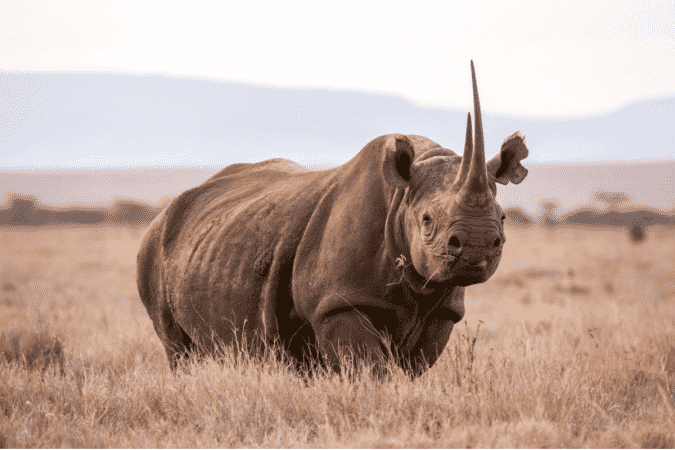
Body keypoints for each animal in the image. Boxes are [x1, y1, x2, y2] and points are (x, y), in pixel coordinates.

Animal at [137, 61, 530, 377]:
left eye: (503, 218)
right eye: (427, 220)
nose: (477, 246)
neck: (401, 198)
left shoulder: (443, 309)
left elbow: (412, 366)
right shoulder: (338, 302)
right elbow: (372, 369)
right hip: (154, 247)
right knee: (178, 348)